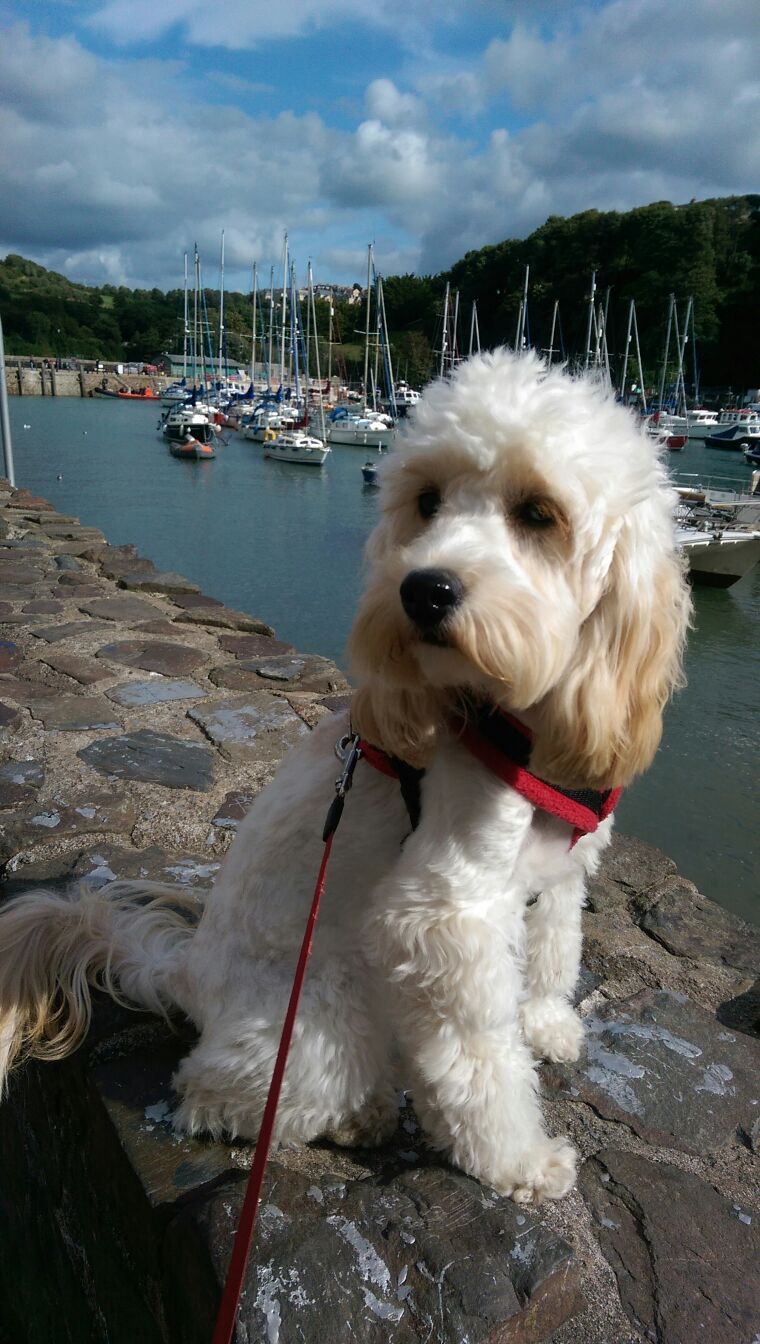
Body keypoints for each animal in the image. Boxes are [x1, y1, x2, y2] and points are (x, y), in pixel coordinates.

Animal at [0, 352, 688, 1204]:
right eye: (426, 502)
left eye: (538, 513)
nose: (423, 589)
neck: (515, 722)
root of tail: (186, 973)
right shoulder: (444, 918)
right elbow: (479, 1055)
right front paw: (517, 1160)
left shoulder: (558, 875)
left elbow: (552, 954)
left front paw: (547, 1024)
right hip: (323, 1018)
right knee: (213, 1094)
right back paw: (356, 1115)